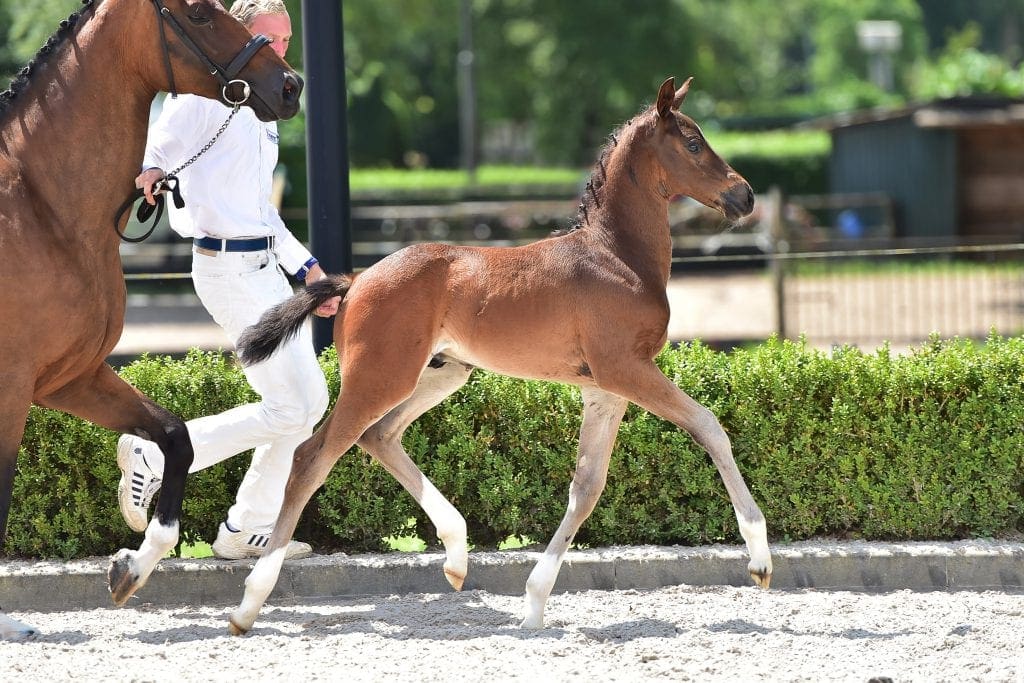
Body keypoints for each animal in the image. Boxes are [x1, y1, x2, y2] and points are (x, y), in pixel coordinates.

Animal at [0, 0, 302, 640]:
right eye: (199, 11)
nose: (289, 85)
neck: (39, 208)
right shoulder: (11, 386)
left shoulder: (69, 377)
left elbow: (175, 437)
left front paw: (130, 568)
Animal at [228, 76, 773, 635]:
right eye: (693, 143)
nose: (745, 195)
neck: (617, 255)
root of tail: (356, 281)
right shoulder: (627, 368)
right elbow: (708, 426)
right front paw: (758, 556)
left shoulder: (604, 389)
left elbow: (587, 486)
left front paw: (534, 601)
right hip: (380, 376)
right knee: (312, 458)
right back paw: (250, 602)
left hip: (442, 375)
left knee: (379, 436)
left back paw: (456, 555)